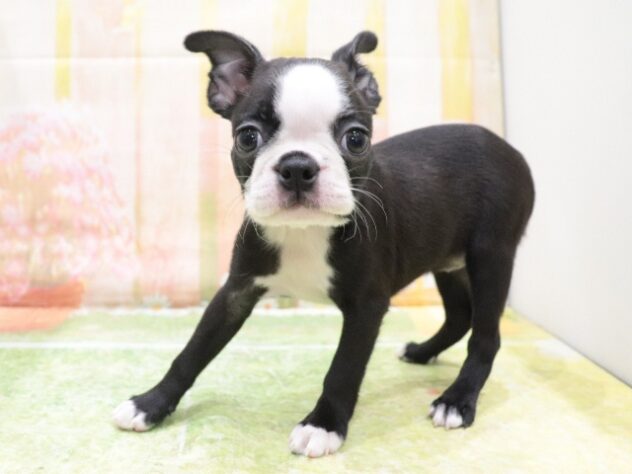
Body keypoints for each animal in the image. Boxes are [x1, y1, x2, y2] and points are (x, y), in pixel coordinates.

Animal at [113, 30, 535, 458]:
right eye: (248, 137)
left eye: (356, 139)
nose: (298, 166)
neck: (305, 231)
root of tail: (505, 146)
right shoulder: (236, 291)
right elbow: (193, 351)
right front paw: (150, 403)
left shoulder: (366, 306)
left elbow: (343, 369)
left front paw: (323, 425)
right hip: (446, 259)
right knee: (459, 316)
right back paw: (421, 352)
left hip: (491, 255)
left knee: (486, 336)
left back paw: (457, 399)